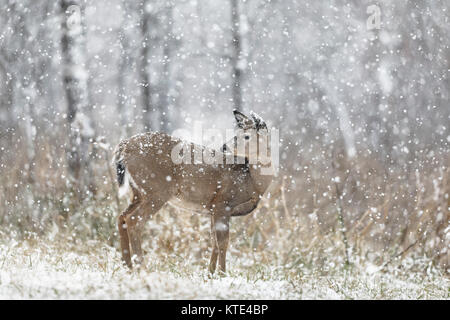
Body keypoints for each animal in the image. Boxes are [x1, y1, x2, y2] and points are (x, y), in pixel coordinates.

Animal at [112, 109, 274, 272]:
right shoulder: (223, 202)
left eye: (246, 135)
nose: (224, 147)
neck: (253, 182)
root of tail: (124, 146)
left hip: (139, 192)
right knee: (134, 220)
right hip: (157, 190)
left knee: (122, 217)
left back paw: (127, 265)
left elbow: (214, 241)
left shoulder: (213, 209)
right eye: (237, 133)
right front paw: (222, 273)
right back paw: (141, 267)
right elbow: (223, 242)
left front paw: (210, 273)